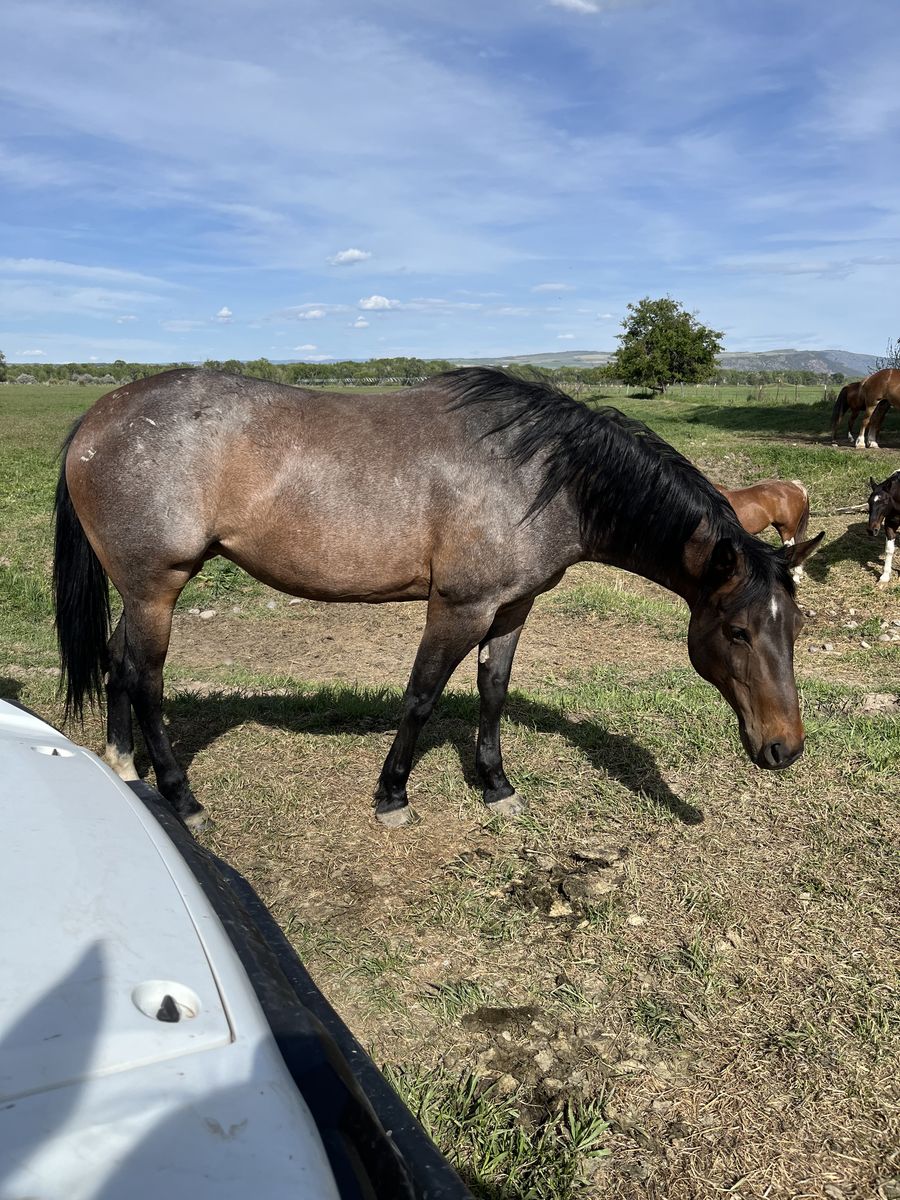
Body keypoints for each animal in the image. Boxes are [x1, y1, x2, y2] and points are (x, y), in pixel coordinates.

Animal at [53, 368, 823, 831]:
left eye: (794, 630)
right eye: (737, 633)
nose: (784, 749)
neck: (543, 476)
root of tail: (97, 418)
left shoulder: (512, 608)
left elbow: (492, 691)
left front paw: (497, 786)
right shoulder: (458, 607)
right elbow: (422, 696)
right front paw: (392, 796)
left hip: (143, 593)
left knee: (120, 663)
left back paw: (125, 769)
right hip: (157, 588)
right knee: (147, 678)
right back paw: (183, 800)